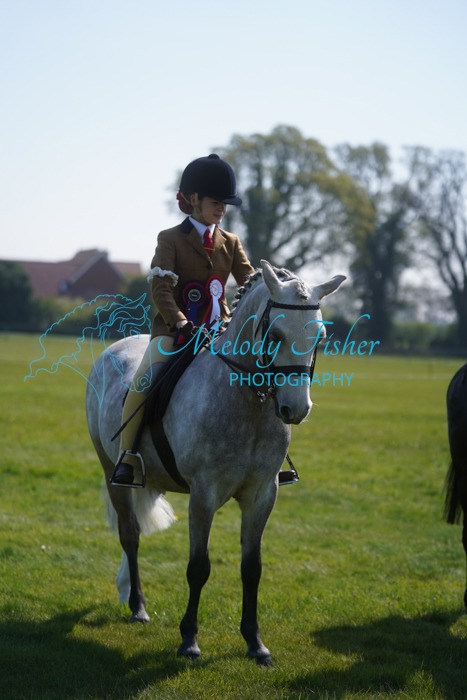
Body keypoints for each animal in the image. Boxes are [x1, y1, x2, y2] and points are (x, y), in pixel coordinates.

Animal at [86, 260, 346, 665]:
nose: (296, 409)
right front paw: (189, 641)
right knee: (130, 535)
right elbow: (199, 567)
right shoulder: (203, 495)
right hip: (110, 470)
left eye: (319, 338)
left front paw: (255, 643)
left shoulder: (262, 495)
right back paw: (138, 606)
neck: (248, 405)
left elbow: (252, 568)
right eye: (275, 334)